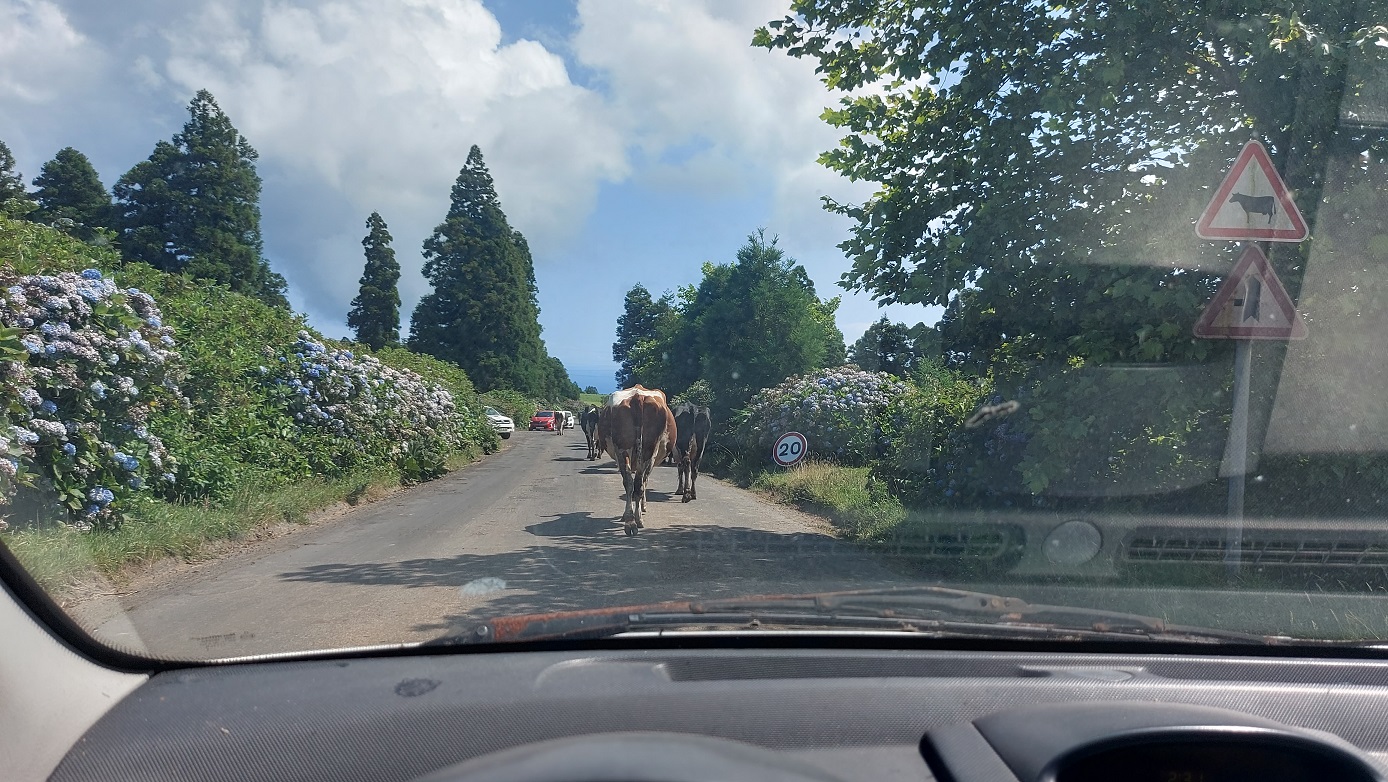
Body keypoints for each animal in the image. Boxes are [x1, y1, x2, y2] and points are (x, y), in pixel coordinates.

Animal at [596, 386, 677, 536]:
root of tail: (638, 395)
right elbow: (644, 482)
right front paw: (642, 507)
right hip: (647, 450)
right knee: (637, 483)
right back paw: (636, 520)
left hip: (623, 449)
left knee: (629, 482)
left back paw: (630, 521)